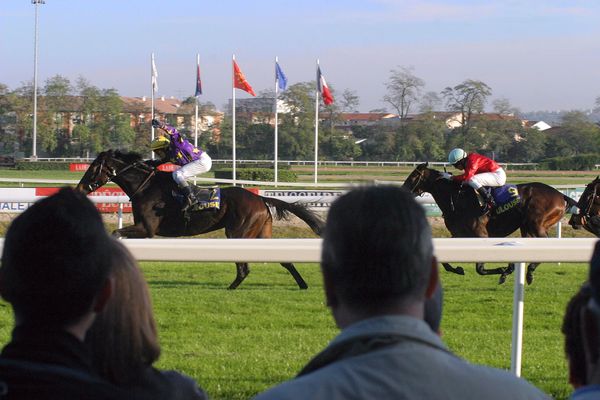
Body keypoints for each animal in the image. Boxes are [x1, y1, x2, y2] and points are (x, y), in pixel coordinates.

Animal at [78, 150, 326, 290]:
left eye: (94, 167)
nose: (80, 187)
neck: (146, 187)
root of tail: (260, 197)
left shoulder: (147, 229)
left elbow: (115, 233)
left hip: (238, 233)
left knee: (244, 268)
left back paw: (231, 288)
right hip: (261, 234)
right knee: (284, 260)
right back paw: (302, 285)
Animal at [404, 162, 576, 284]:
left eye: (412, 177)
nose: (403, 190)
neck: (457, 199)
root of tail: (561, 195)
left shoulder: (481, 235)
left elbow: (480, 268)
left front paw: (504, 270)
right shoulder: (460, 234)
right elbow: (444, 260)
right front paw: (458, 269)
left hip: (536, 224)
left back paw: (529, 271)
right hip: (527, 227)